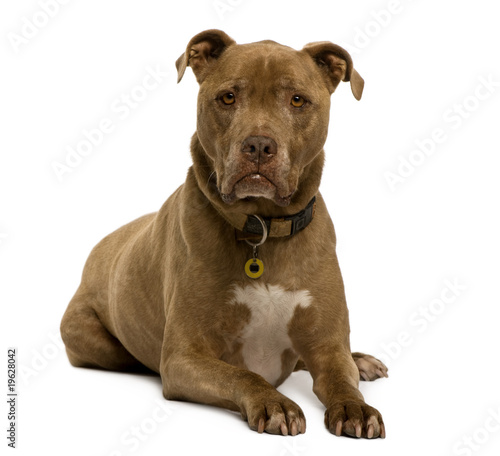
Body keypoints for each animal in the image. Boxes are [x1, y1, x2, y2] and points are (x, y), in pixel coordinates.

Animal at [60, 28, 388, 438]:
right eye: (228, 97)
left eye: (297, 100)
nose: (259, 145)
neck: (262, 230)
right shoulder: (185, 357)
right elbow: (241, 376)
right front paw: (274, 404)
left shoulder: (328, 345)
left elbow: (341, 378)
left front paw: (356, 407)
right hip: (88, 336)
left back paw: (361, 360)